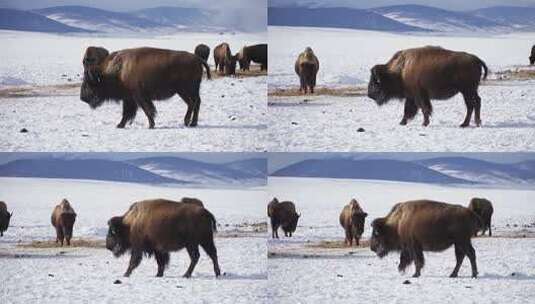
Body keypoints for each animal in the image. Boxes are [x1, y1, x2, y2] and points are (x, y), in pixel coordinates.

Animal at [81, 46, 211, 128]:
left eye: (89, 83)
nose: (82, 98)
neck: (118, 70)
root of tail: (197, 59)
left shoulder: (139, 97)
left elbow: (147, 110)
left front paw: (151, 125)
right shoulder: (129, 98)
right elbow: (127, 113)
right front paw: (120, 125)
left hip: (185, 90)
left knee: (192, 103)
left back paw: (187, 122)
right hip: (188, 91)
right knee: (196, 103)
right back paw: (193, 123)